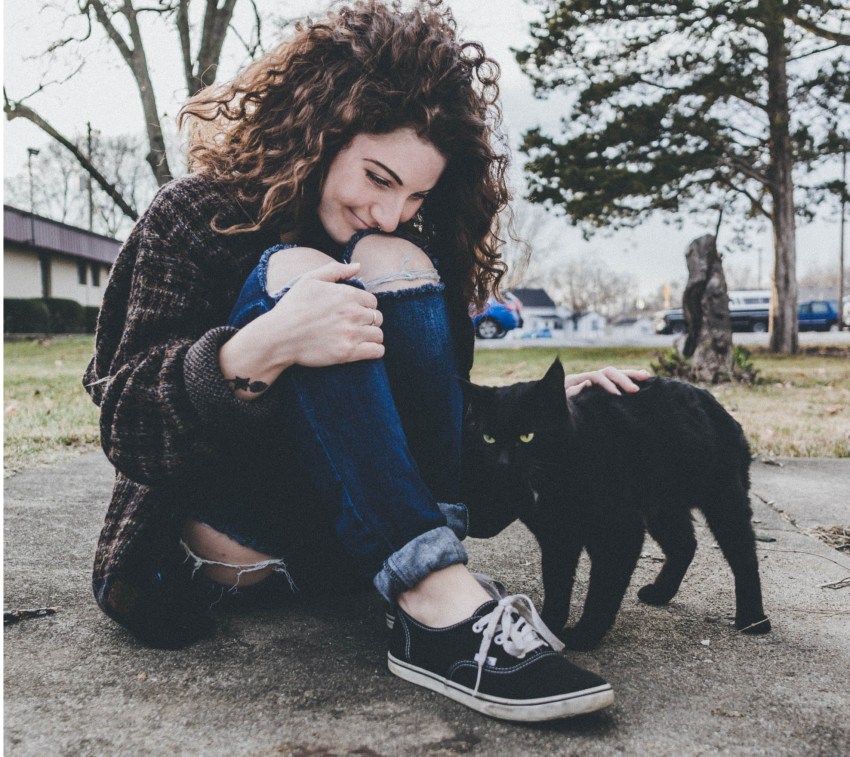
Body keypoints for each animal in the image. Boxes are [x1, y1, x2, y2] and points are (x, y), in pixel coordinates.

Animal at [460, 360, 772, 648]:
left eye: (527, 435)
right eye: (489, 437)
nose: (503, 463)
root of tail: (713, 402)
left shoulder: (619, 534)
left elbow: (602, 591)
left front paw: (585, 635)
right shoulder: (557, 538)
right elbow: (557, 585)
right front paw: (547, 626)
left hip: (724, 502)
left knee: (744, 556)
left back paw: (753, 619)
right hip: (662, 508)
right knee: (685, 544)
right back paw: (661, 593)